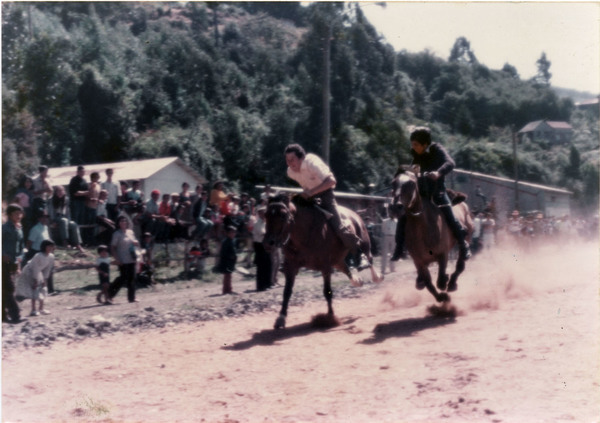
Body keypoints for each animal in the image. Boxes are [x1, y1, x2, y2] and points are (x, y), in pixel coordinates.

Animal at [264, 194, 384, 330]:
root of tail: (355, 215)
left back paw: (376, 276)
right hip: (337, 260)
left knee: (369, 260)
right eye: (265, 214)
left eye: (283, 215)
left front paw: (330, 318)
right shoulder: (291, 266)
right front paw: (280, 319)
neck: (305, 233)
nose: (268, 243)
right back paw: (357, 281)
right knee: (345, 267)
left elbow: (327, 292)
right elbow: (287, 292)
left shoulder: (325, 267)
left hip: (364, 245)